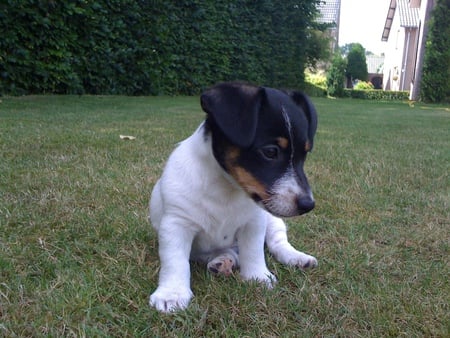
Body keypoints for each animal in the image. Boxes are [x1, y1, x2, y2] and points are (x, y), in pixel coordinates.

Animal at [149, 81, 318, 312]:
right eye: (270, 151)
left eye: (305, 154)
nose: (308, 205)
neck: (226, 188)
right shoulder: (176, 224)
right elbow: (175, 261)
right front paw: (172, 294)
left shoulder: (254, 222)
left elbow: (253, 252)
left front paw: (258, 277)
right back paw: (221, 262)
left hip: (272, 220)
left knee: (277, 242)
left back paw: (297, 257)